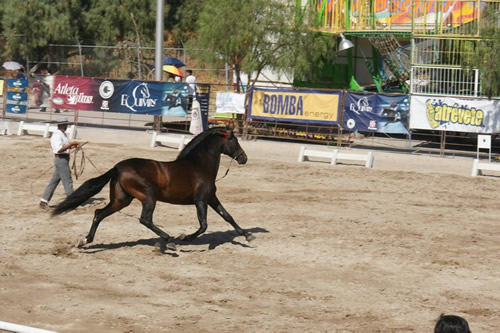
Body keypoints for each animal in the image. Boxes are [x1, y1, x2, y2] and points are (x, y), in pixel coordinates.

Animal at [51, 127, 254, 249]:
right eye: (235, 141)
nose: (244, 158)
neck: (200, 165)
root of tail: (118, 167)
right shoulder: (201, 201)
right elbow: (203, 225)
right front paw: (184, 237)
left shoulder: (211, 198)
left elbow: (227, 216)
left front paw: (247, 236)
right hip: (148, 197)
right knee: (145, 219)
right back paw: (169, 241)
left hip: (121, 200)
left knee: (99, 213)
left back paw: (85, 240)